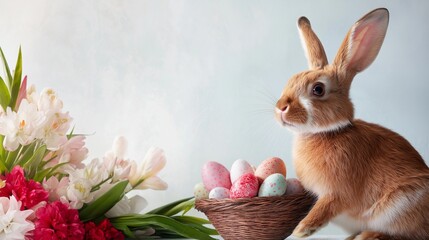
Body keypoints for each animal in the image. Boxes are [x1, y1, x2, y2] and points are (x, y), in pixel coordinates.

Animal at [274, 7, 428, 240]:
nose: (280, 107)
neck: (326, 132)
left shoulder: (337, 192)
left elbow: (325, 207)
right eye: (291, 80)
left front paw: (302, 229)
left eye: (318, 89)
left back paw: (369, 235)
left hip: (402, 204)